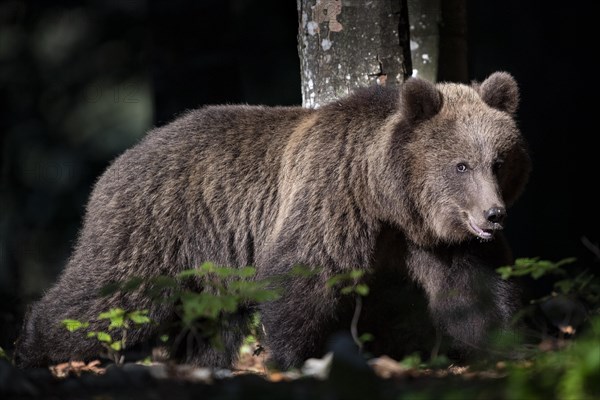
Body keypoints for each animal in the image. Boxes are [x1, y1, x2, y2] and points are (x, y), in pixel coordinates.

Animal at [12, 71, 528, 368]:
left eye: (499, 161)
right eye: (461, 165)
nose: (494, 215)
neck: (387, 198)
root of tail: (122, 158)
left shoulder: (437, 242)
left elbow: (470, 293)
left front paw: (504, 346)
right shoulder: (330, 201)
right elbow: (301, 282)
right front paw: (294, 359)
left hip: (212, 265)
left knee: (210, 325)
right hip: (155, 227)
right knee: (110, 299)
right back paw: (32, 351)